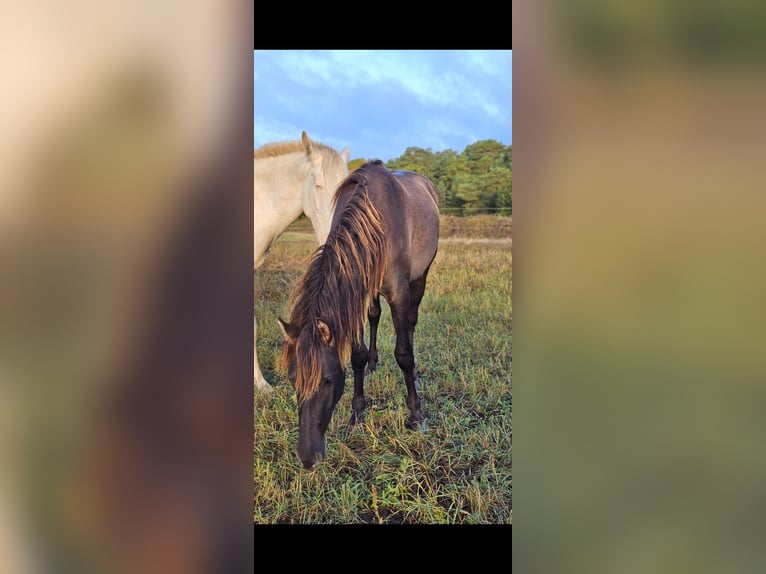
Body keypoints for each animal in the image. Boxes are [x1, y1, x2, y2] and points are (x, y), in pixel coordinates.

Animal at [277, 160, 440, 470]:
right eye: (293, 379)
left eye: (327, 380)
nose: (307, 457)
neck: (375, 220)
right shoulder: (357, 293)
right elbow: (357, 355)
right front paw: (356, 415)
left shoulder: (399, 292)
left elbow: (404, 354)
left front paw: (416, 416)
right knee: (375, 316)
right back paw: (374, 363)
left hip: (421, 275)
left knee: (411, 323)